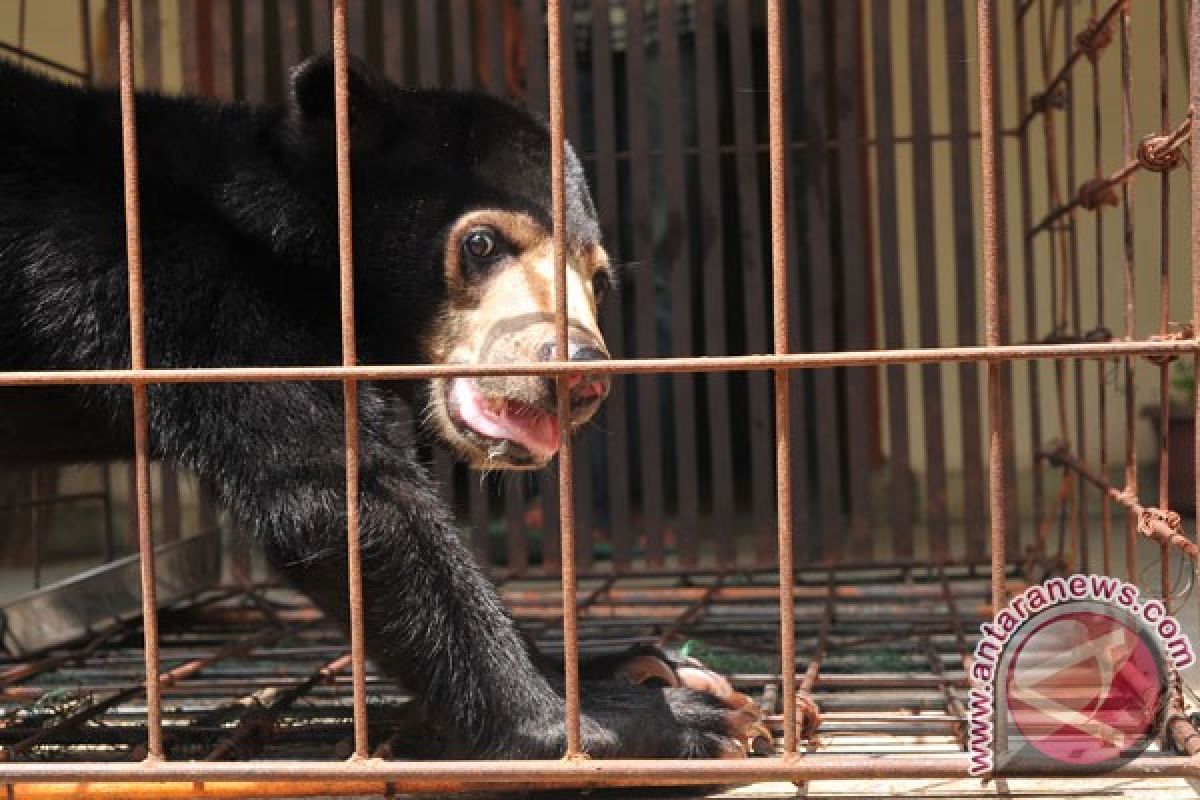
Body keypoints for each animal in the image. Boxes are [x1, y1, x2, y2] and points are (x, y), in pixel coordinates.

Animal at [0, 56, 758, 758]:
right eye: (483, 244)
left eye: (596, 280)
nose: (580, 376)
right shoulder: (179, 290)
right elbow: (345, 496)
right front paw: (638, 720)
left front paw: (637, 667)